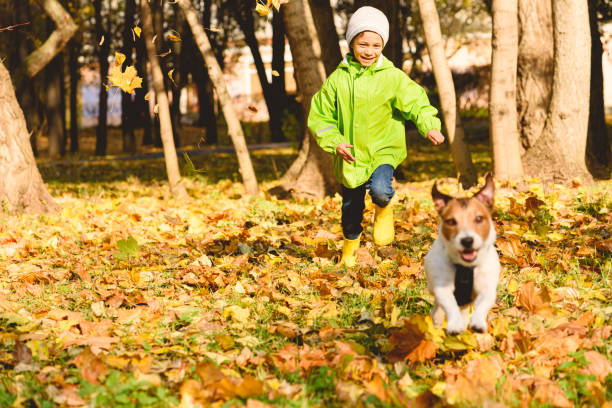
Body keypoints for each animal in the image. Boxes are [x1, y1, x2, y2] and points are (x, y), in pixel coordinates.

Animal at [424, 173, 500, 334]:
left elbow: (483, 303)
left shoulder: (487, 288)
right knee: (438, 307)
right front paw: (454, 324)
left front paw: (477, 322)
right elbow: (449, 303)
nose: (467, 240)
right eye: (451, 221)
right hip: (432, 286)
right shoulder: (442, 288)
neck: (466, 267)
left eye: (479, 218)